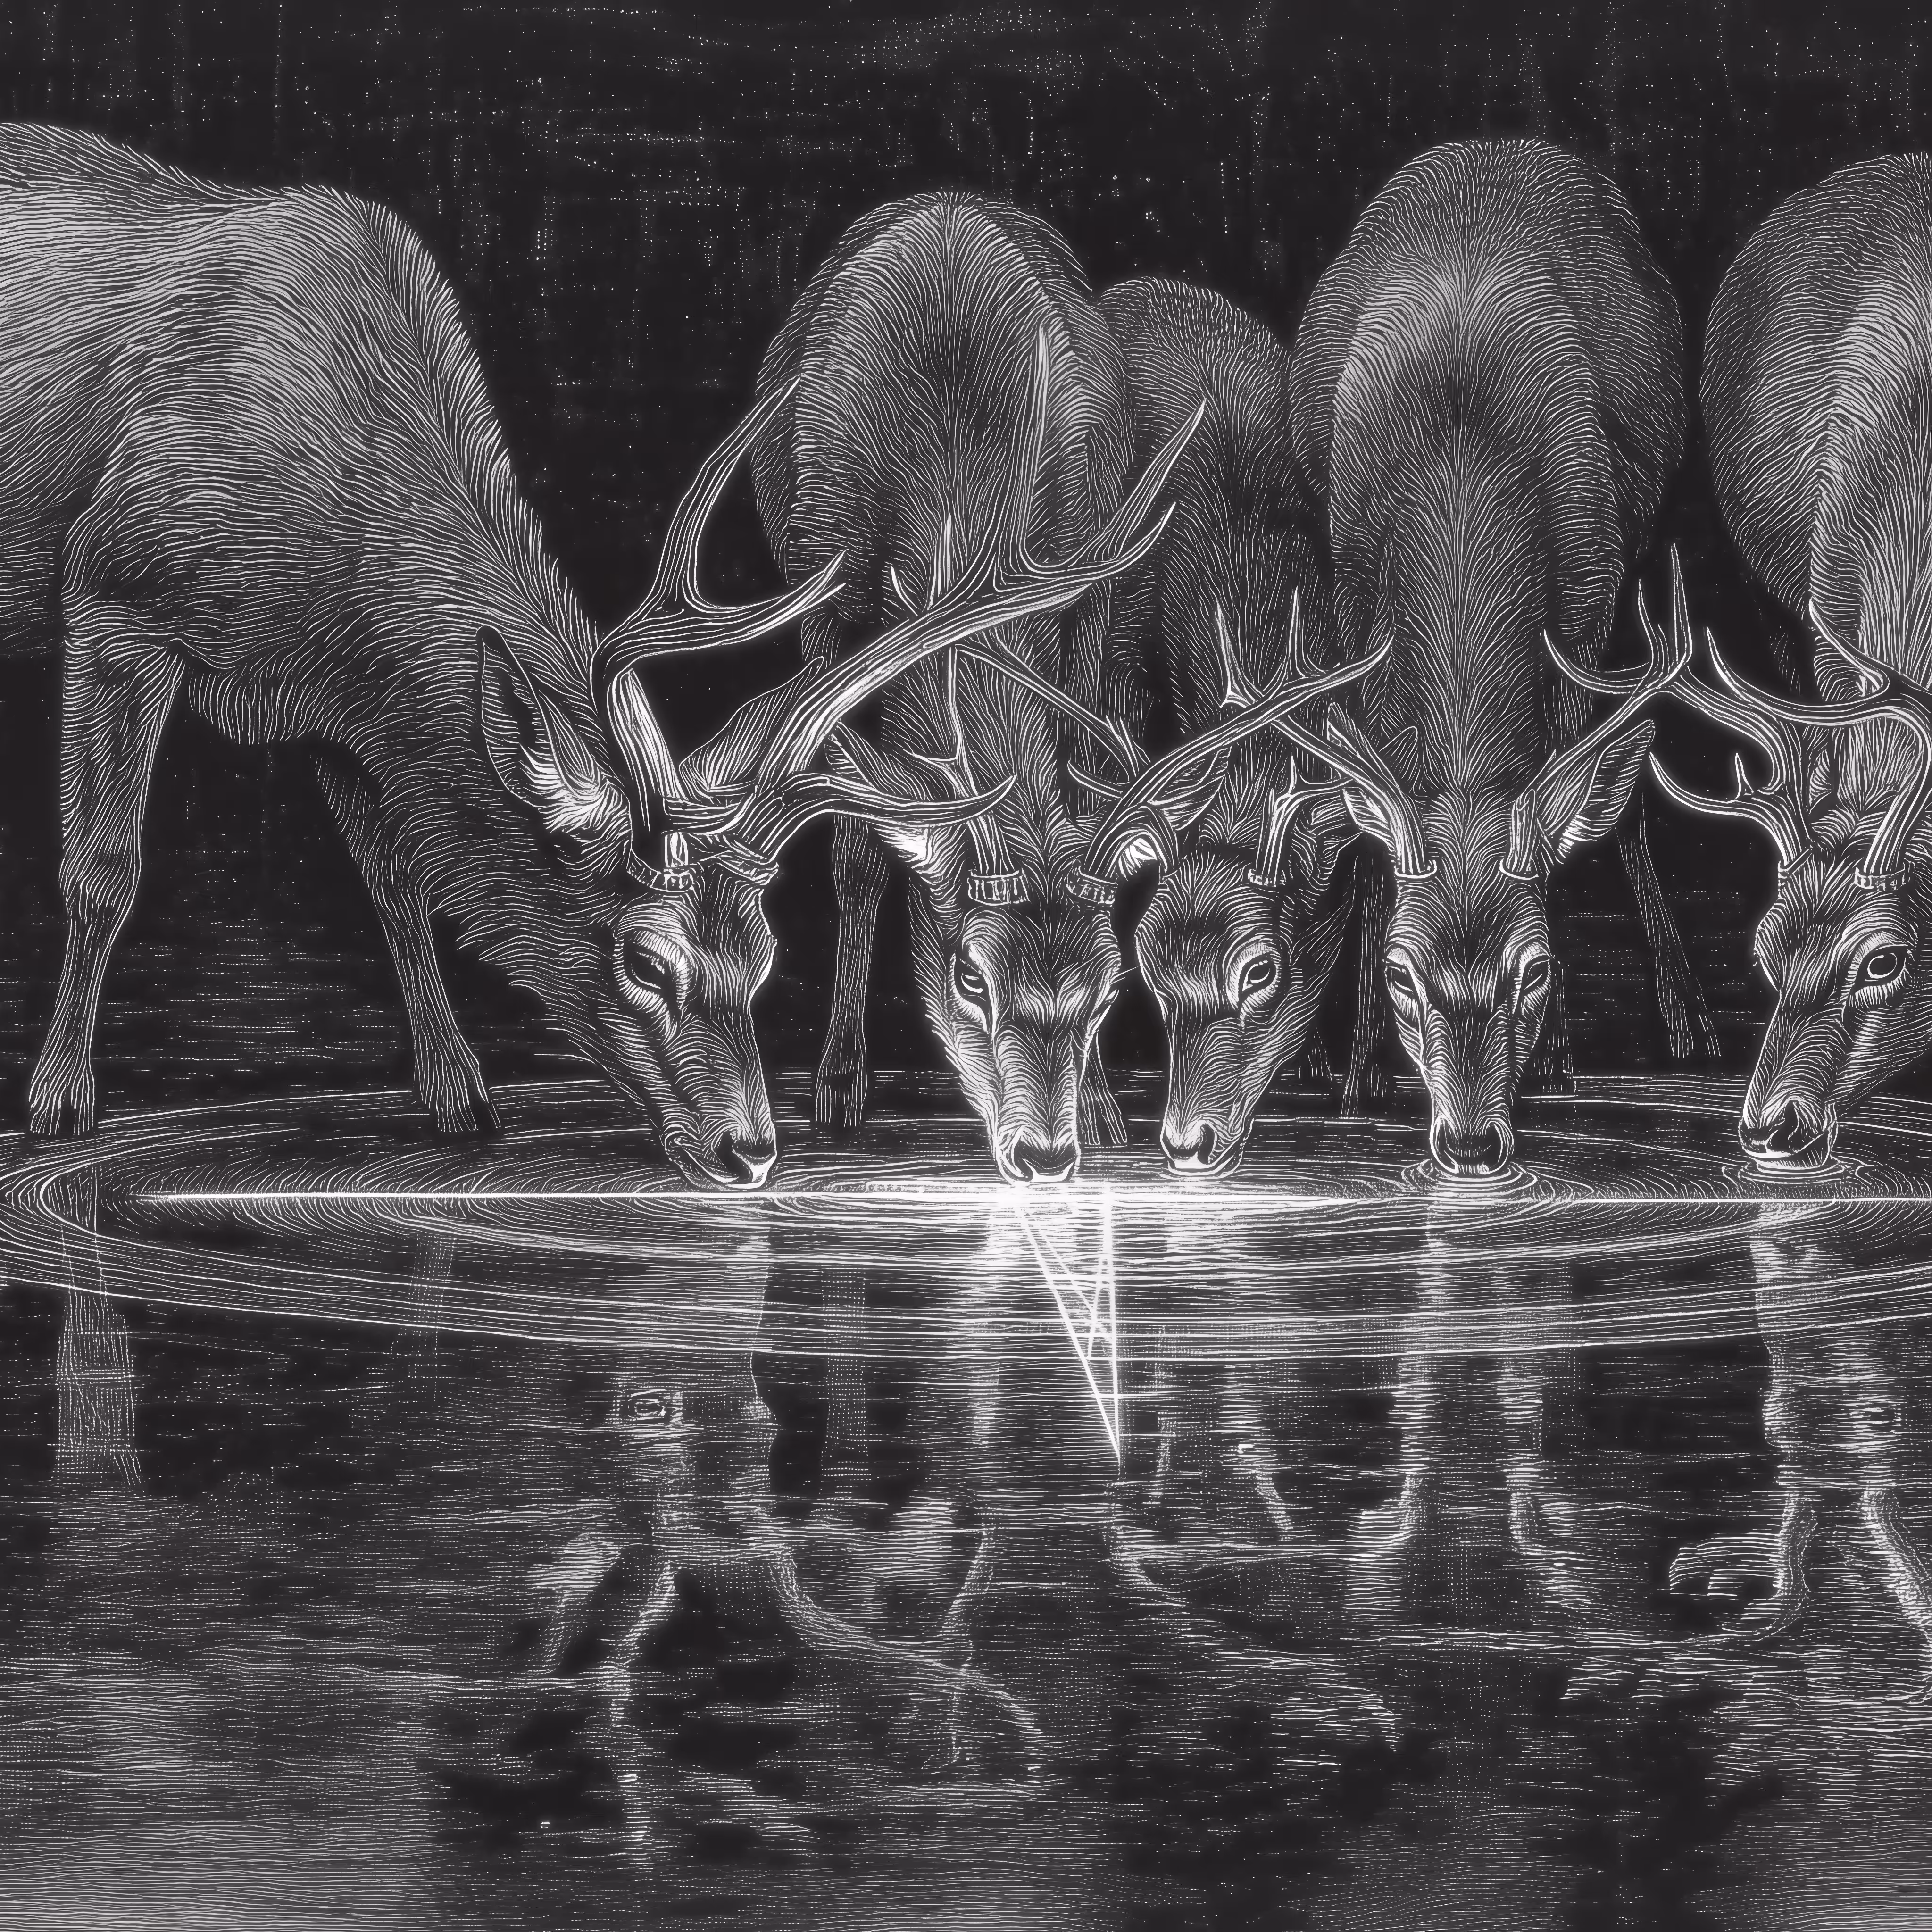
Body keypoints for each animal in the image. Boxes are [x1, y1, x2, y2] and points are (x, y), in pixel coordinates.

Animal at [0, 125, 1167, 1189]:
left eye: (761, 959)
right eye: (645, 959)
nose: (750, 1149)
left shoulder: (337, 702)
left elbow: (395, 881)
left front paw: (460, 1094)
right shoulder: (114, 597)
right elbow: (103, 868)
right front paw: (59, 1100)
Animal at [1284, 138, 1715, 1177]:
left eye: (1534, 966)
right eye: (1401, 970)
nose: (1473, 1140)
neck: (1461, 455)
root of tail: (1503, 143)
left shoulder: (1585, 599)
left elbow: (1566, 816)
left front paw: (1555, 1052)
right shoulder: (1353, 603)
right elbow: (1372, 835)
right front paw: (1361, 1071)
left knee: (1625, 794)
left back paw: (1686, 1014)